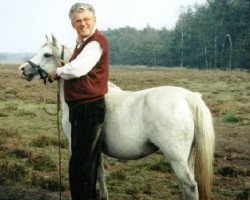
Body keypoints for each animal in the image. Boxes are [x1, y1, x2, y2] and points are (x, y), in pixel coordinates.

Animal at [18, 35, 215, 199]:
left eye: (46, 54)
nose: (22, 69)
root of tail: (189, 97)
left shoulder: (78, 145)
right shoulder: (96, 149)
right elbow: (100, 174)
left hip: (177, 157)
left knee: (190, 186)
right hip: (188, 157)